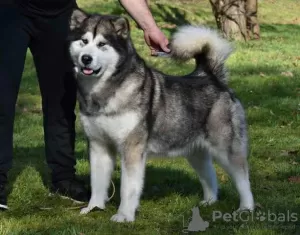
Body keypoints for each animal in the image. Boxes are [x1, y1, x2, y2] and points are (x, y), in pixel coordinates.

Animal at [69, 8, 254, 222]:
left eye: (102, 44)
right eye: (83, 41)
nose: (86, 58)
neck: (103, 92)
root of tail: (210, 76)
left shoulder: (132, 148)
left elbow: (128, 188)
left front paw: (124, 216)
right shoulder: (99, 145)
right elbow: (97, 182)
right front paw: (94, 207)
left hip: (226, 148)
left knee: (242, 178)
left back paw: (246, 207)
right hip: (195, 150)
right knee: (209, 175)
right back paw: (209, 201)